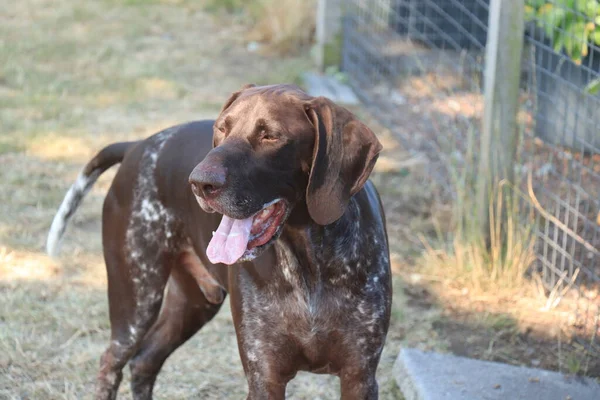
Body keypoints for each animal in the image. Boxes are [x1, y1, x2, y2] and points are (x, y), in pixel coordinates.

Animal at [47, 83, 394, 398]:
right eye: (221, 129)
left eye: (271, 135)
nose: (199, 183)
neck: (308, 261)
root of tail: (136, 145)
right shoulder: (264, 375)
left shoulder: (359, 375)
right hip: (135, 302)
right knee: (112, 362)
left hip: (193, 303)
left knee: (145, 361)